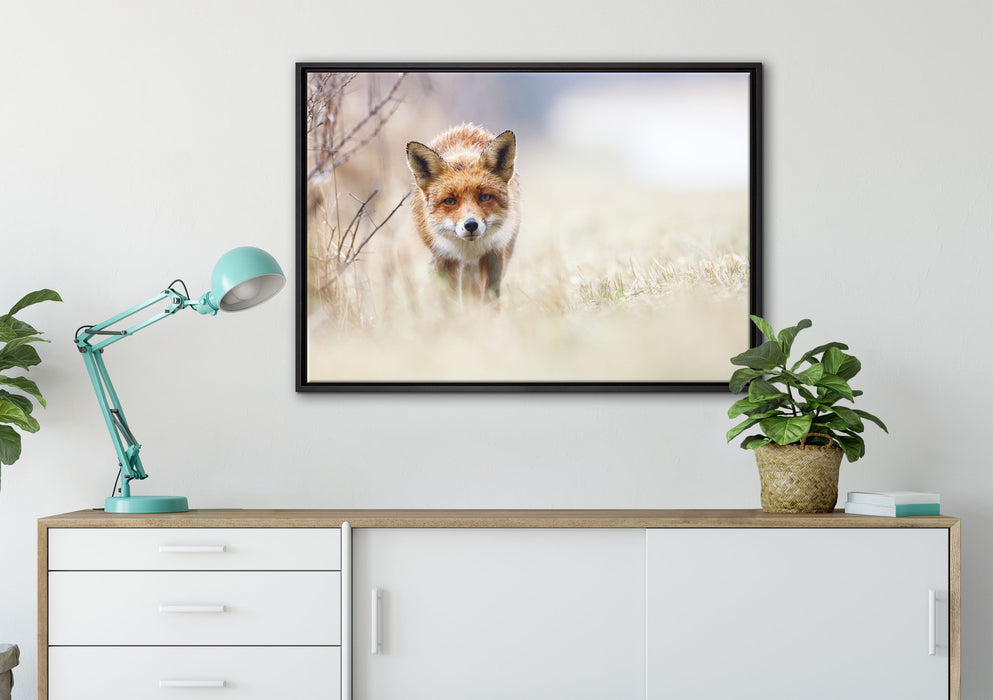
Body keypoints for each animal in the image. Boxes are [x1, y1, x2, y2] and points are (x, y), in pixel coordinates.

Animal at [406, 123, 521, 302]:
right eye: (450, 201)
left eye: (485, 197)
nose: (471, 225)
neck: (469, 249)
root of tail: (464, 127)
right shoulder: (444, 258)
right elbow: (450, 301)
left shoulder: (494, 252)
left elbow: (490, 297)